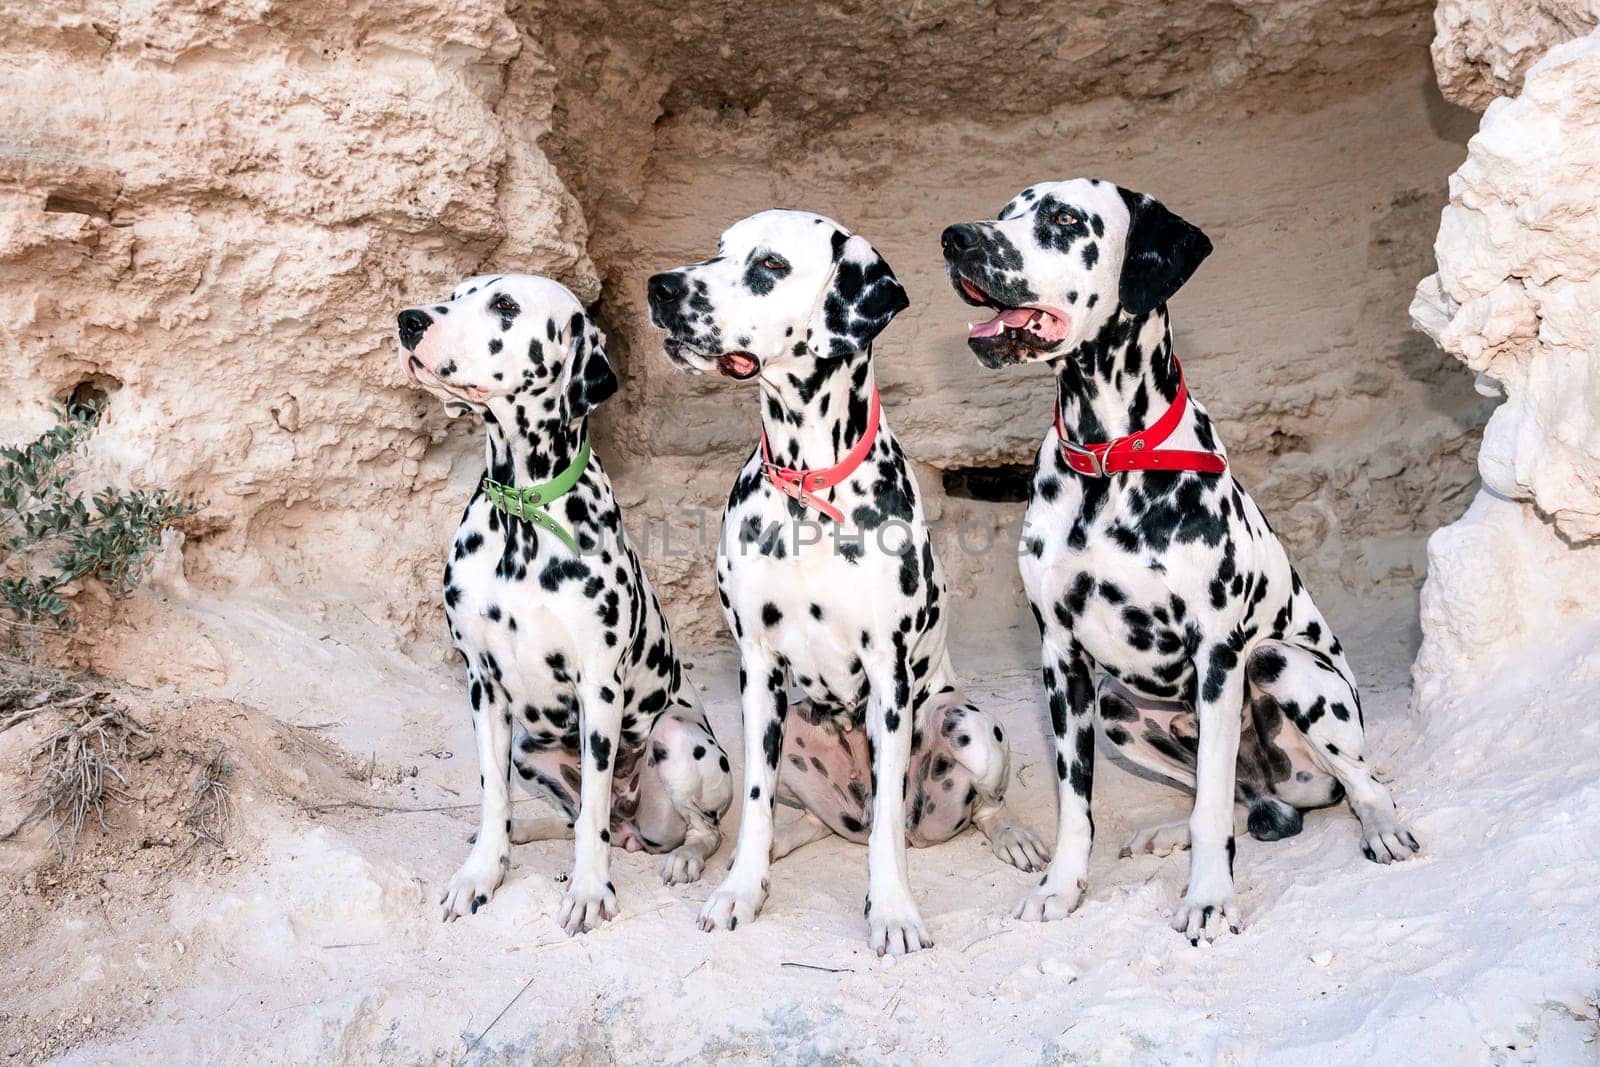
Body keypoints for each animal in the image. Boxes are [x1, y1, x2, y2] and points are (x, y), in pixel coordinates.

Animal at [396, 273, 732, 934]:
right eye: (457, 291)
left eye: (504, 304)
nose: (408, 321)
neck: (523, 514)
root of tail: (637, 830)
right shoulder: (483, 686)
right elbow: (493, 796)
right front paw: (483, 871)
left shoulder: (598, 688)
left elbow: (594, 815)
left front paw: (589, 890)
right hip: (531, 750)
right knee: (567, 815)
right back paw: (523, 832)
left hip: (680, 739)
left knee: (695, 828)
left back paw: (683, 857)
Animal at [649, 211, 1049, 959]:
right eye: (718, 250)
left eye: (771, 264)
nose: (659, 285)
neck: (810, 488)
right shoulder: (757, 669)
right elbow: (754, 804)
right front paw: (740, 889)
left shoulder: (888, 672)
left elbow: (890, 820)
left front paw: (891, 911)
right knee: (785, 816)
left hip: (968, 726)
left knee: (975, 807)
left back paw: (1013, 836)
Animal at [940, 181, 1420, 940]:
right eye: (1008, 208)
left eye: (1064, 219)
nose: (955, 238)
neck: (1108, 461)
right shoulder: (1062, 660)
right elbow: (1077, 803)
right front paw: (1062, 887)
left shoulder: (1219, 655)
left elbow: (1213, 808)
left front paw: (1209, 899)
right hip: (1116, 706)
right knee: (1221, 798)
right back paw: (1170, 832)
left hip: (1288, 669)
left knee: (1358, 782)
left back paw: (1380, 825)